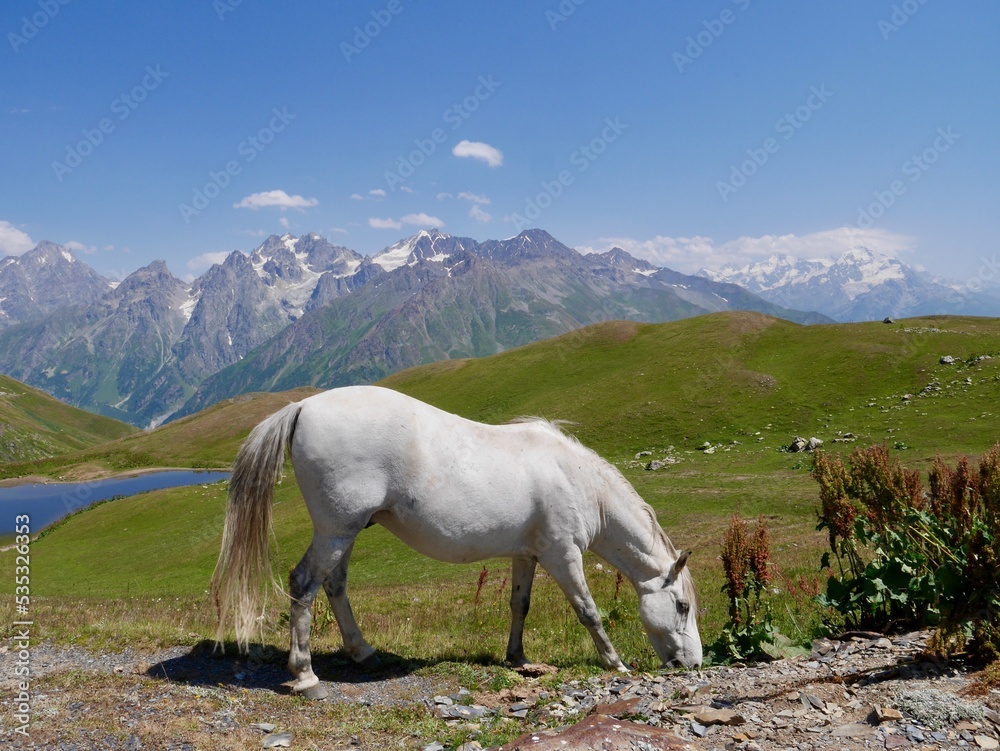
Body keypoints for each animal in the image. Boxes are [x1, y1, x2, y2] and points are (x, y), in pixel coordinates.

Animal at [211, 385, 701, 697]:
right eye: (681, 606)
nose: (693, 664)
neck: (577, 481)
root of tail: (303, 407)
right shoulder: (563, 556)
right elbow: (589, 611)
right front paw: (615, 662)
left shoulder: (528, 555)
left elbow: (519, 605)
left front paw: (517, 657)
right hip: (335, 531)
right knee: (303, 584)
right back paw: (306, 675)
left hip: (346, 531)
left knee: (334, 586)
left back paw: (363, 652)